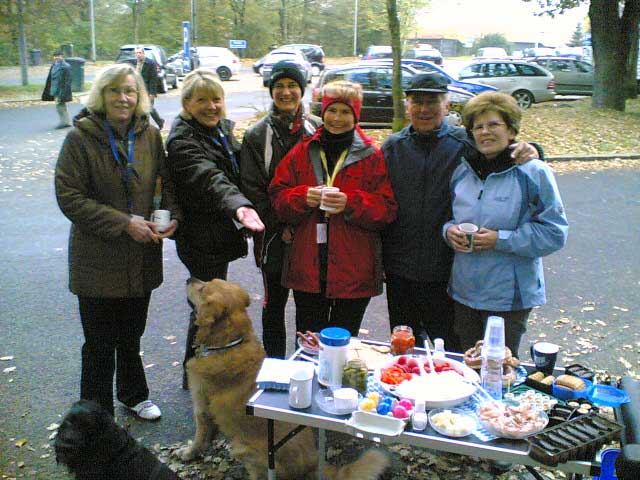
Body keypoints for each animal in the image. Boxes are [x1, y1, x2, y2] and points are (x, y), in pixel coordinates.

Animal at [176, 278, 390, 480]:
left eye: (203, 289)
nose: (189, 279)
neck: (230, 344)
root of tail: (313, 462)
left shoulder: (201, 406)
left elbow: (199, 435)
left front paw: (189, 452)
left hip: (243, 449)